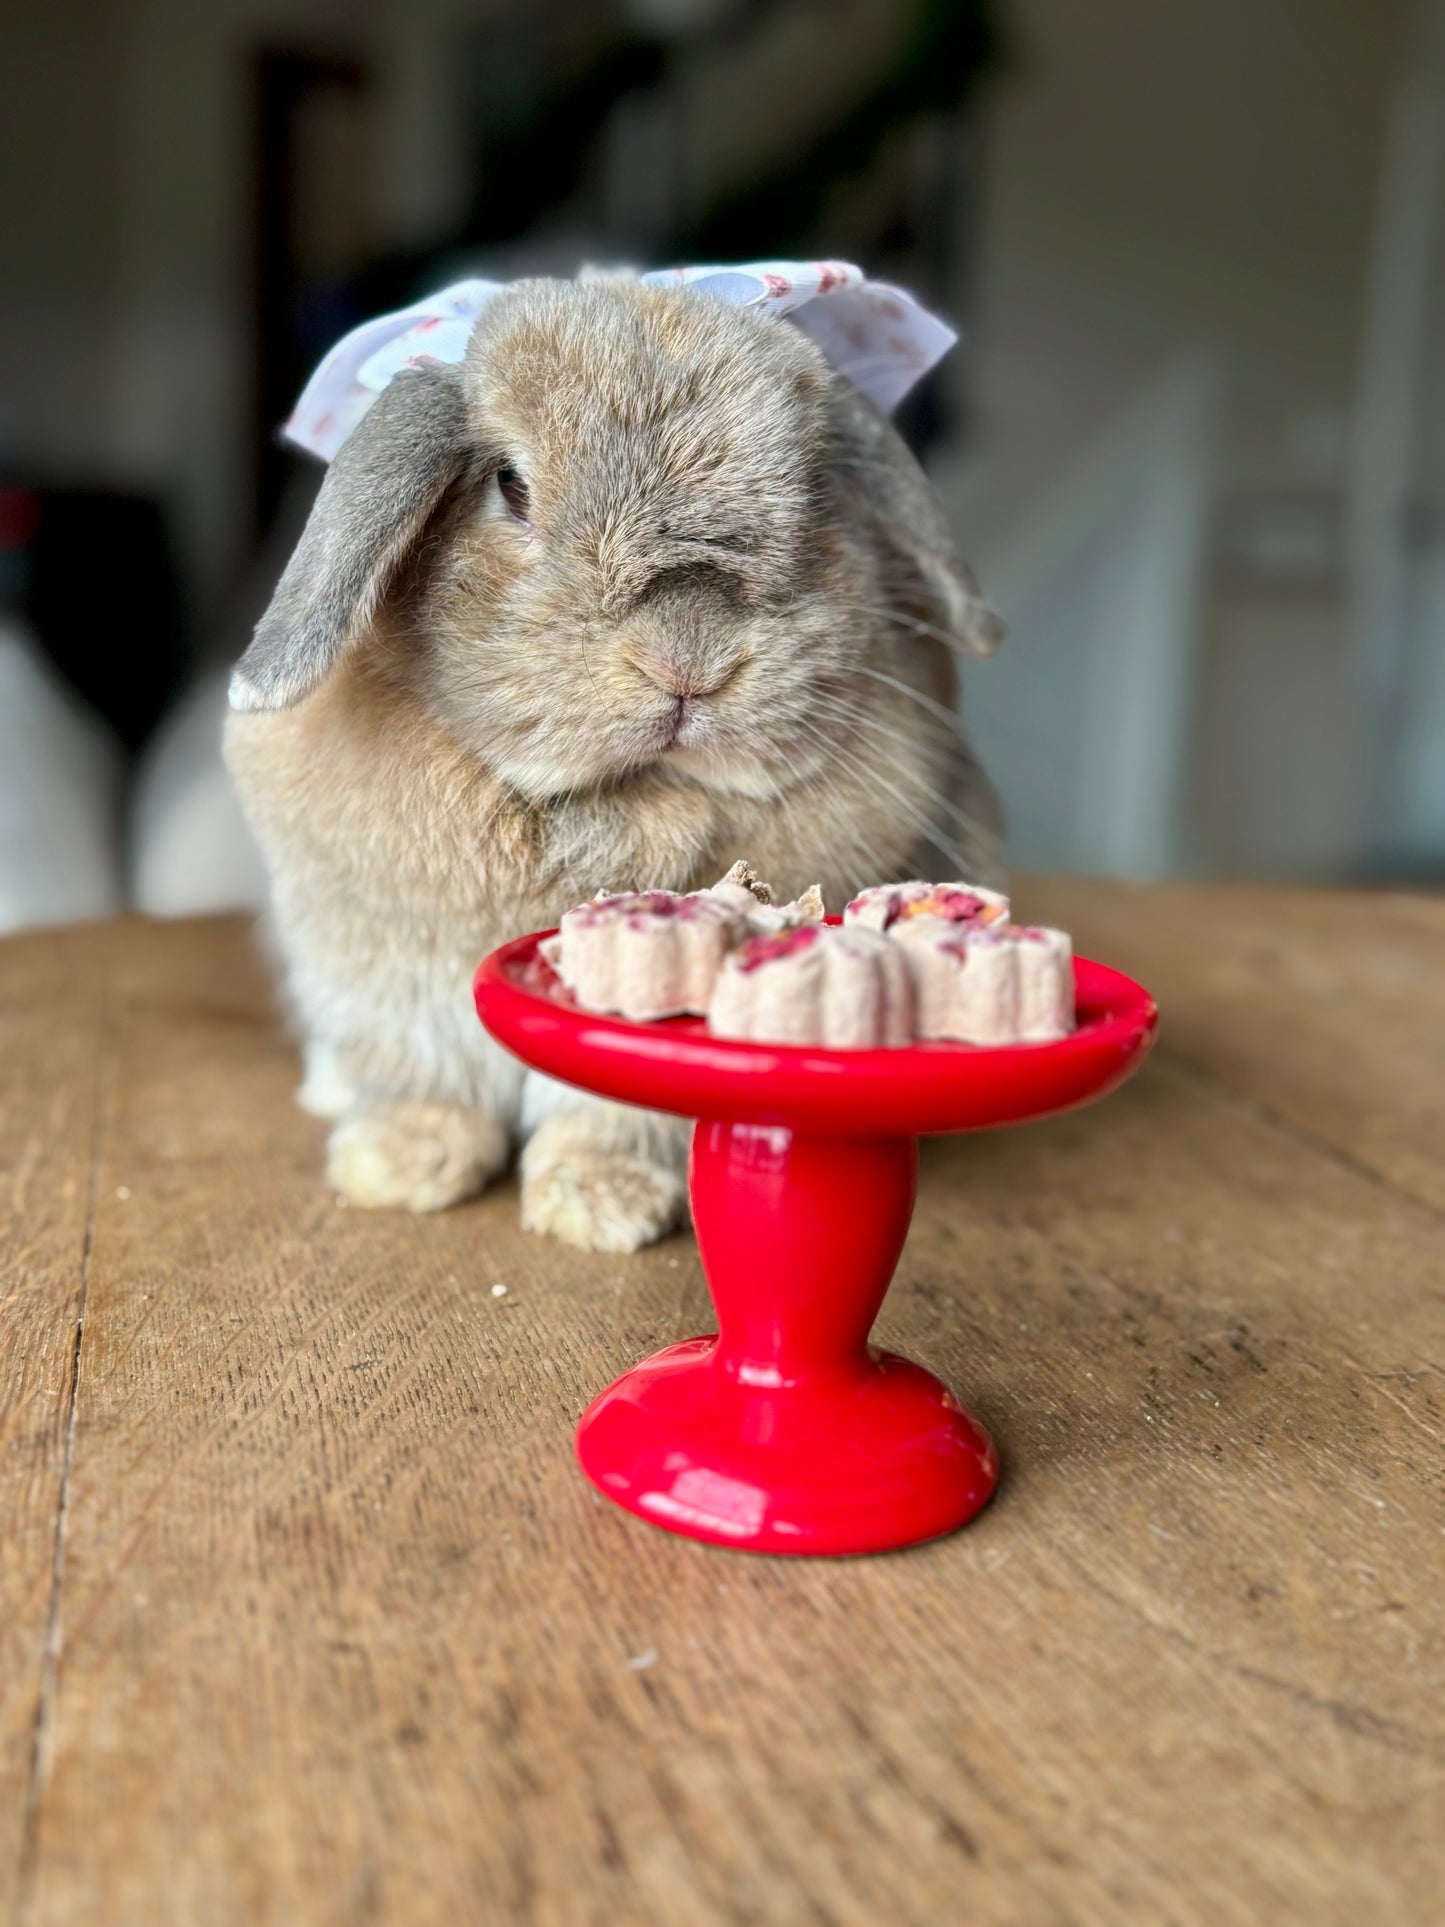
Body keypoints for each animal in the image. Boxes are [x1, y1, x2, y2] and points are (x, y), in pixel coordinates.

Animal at [224, 276, 1005, 1251]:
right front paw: (397, 1167)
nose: (689, 660)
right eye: (509, 484)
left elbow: (610, 1114)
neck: (619, 801)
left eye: (817, 493)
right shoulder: (384, 980)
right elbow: (427, 1083)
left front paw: (598, 1207)